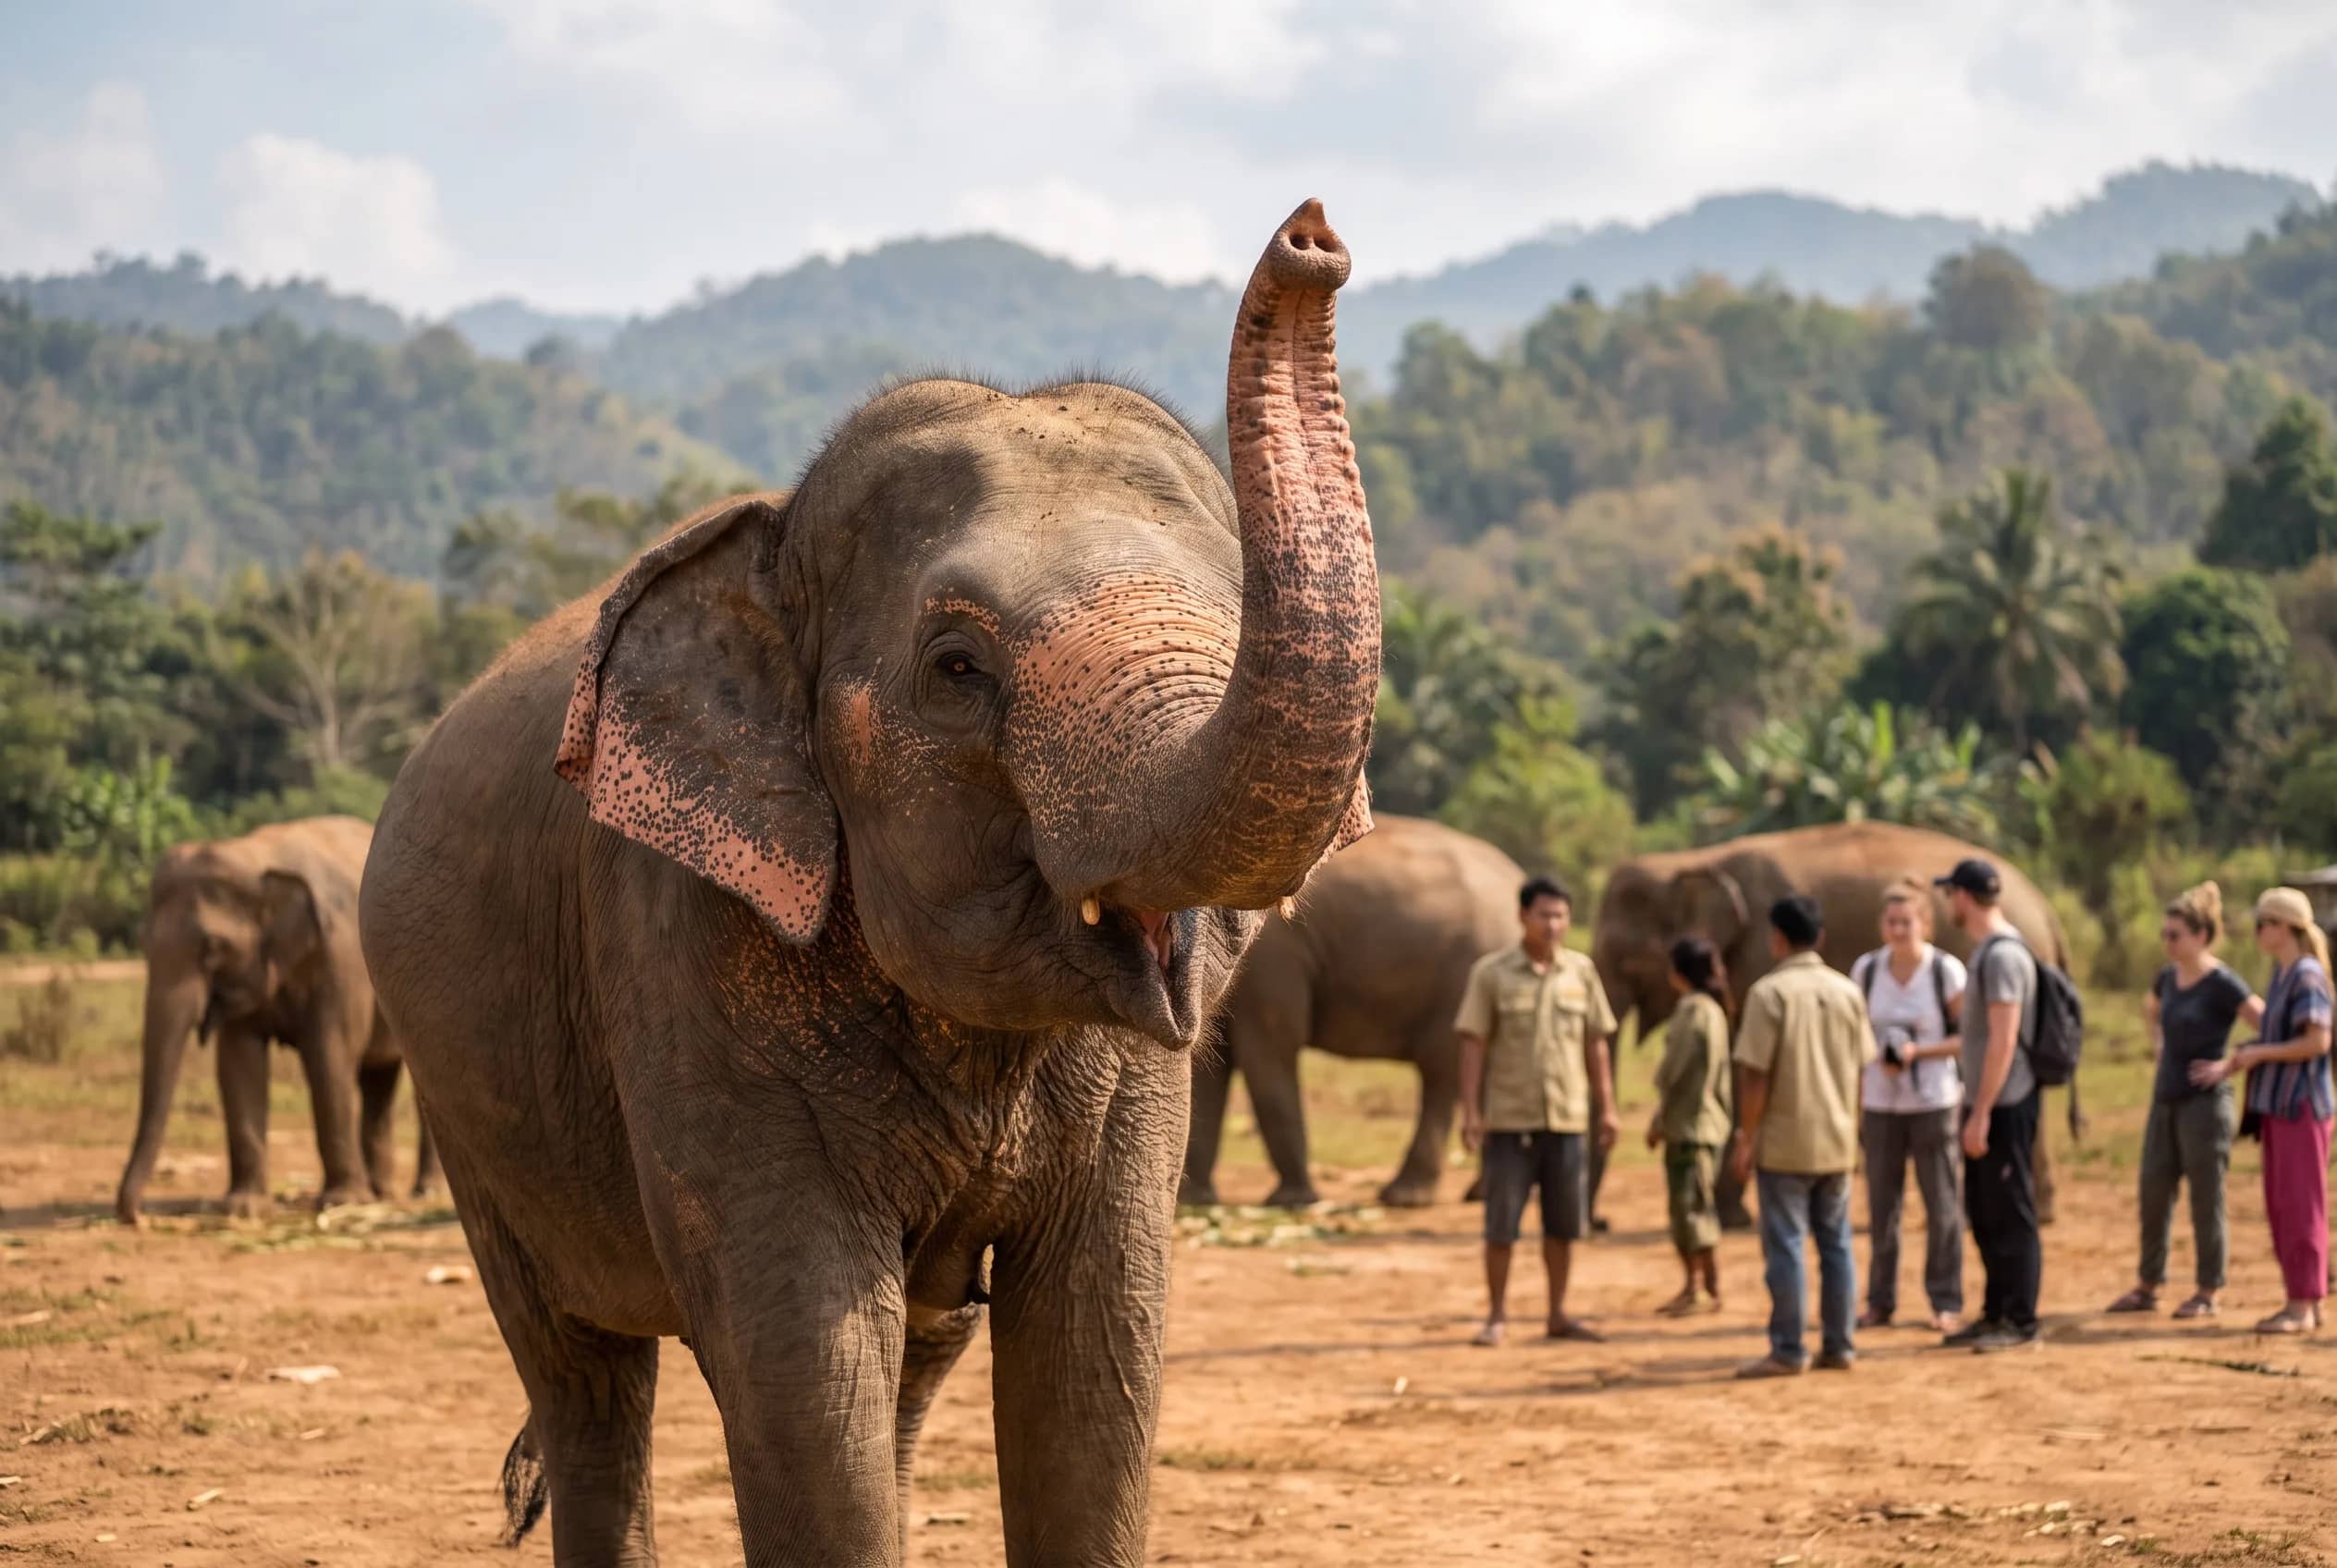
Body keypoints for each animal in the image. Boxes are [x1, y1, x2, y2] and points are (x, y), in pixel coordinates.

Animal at [114, 815, 438, 1225]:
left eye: (212, 948)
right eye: (143, 943)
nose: (138, 1216)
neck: (256, 856)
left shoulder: (340, 961)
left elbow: (328, 1061)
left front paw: (340, 1201)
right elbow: (238, 1065)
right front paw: (242, 1208)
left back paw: (420, 1191)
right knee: (376, 1079)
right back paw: (381, 1192)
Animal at [358, 201, 1379, 1567]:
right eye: (955, 667)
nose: (1313, 233)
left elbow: (1096, 1357)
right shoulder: (677, 941)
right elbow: (806, 1361)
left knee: (910, 1364)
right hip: (468, 1103)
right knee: (585, 1377)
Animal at [1180, 814, 1521, 1210]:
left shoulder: (1274, 960)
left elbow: (1270, 1051)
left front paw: (1292, 1202)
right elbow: (1211, 1069)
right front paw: (1195, 1202)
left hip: (1463, 977)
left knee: (1441, 1073)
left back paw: (1404, 1197)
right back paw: (1479, 1193)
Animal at [1590, 820, 2078, 1224]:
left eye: (1626, 963)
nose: (1600, 1223)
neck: (1692, 860)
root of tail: (2048, 912)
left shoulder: (1759, 955)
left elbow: (1747, 1068)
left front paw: (1731, 1218)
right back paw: (2040, 1212)